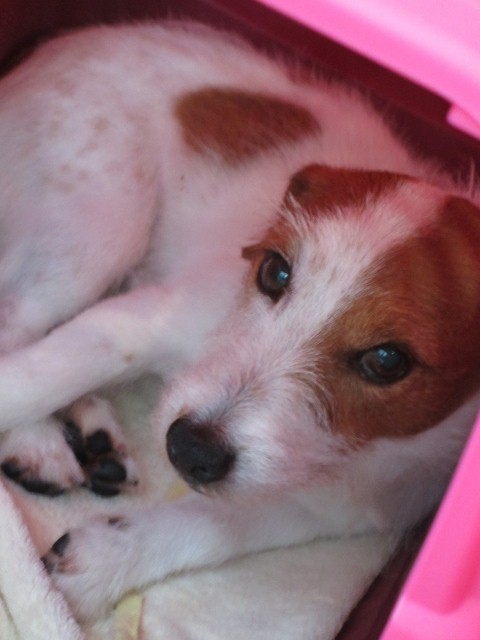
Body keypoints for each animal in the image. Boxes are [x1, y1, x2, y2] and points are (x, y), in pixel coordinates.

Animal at [0, 20, 479, 621]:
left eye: (388, 360)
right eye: (274, 272)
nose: (188, 449)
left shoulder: (331, 510)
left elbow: (214, 527)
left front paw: (108, 560)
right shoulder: (140, 324)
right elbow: (35, 375)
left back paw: (94, 437)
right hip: (103, 226)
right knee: (16, 320)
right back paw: (37, 443)